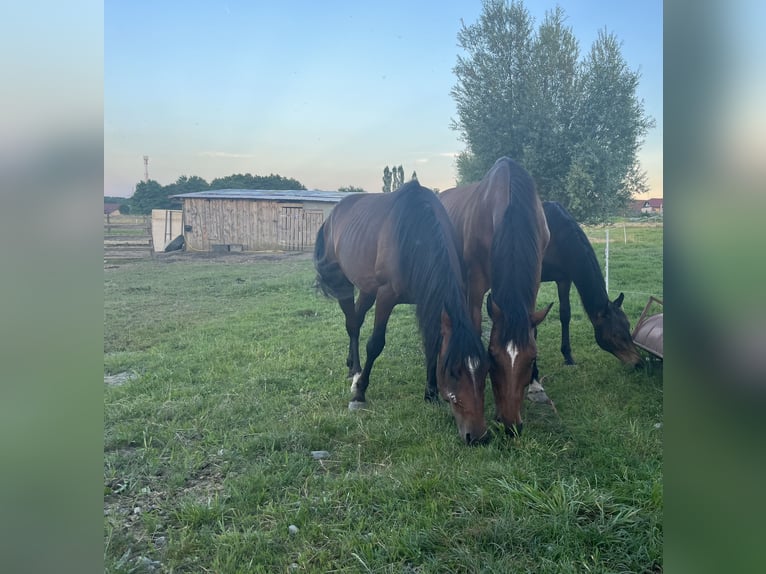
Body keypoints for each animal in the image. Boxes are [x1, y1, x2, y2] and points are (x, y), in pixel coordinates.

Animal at [314, 182, 488, 448]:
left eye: (484, 372)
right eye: (453, 373)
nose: (478, 436)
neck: (415, 235)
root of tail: (333, 214)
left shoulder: (427, 300)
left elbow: (432, 345)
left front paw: (430, 393)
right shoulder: (386, 296)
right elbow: (375, 344)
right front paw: (360, 393)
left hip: (367, 289)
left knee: (356, 319)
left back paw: (351, 365)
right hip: (345, 283)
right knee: (352, 324)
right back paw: (355, 372)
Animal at [440, 158, 556, 436]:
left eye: (532, 357)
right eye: (491, 355)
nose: (510, 424)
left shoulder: (535, 280)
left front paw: (535, 384)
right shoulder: (475, 284)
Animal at [544, 201, 644, 368]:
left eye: (628, 326)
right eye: (615, 334)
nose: (638, 363)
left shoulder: (564, 279)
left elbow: (565, 314)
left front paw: (568, 357)